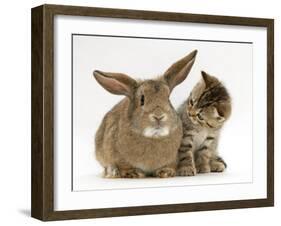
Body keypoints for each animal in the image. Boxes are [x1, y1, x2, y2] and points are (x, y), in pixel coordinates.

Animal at [93, 49, 196, 178]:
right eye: (142, 99)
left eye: (168, 98)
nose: (158, 116)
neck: (154, 136)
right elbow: (123, 166)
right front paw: (133, 173)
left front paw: (166, 172)